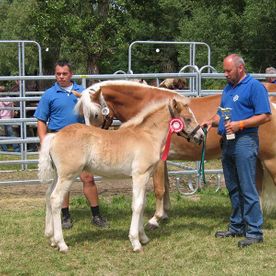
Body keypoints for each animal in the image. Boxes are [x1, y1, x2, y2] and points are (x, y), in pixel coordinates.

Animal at [38, 95, 203, 252]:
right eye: (187, 118)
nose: (201, 136)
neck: (147, 135)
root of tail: (55, 136)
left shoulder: (145, 176)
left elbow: (142, 204)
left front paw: (143, 238)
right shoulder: (139, 175)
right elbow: (137, 205)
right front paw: (136, 242)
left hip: (58, 175)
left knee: (48, 195)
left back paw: (51, 238)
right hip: (68, 175)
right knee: (56, 199)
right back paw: (61, 244)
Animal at [75, 78, 276, 227]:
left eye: (95, 114)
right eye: (81, 114)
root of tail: (271, 105)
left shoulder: (157, 162)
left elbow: (159, 188)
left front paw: (154, 219)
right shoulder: (163, 160)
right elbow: (165, 186)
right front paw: (164, 214)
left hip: (269, 159)